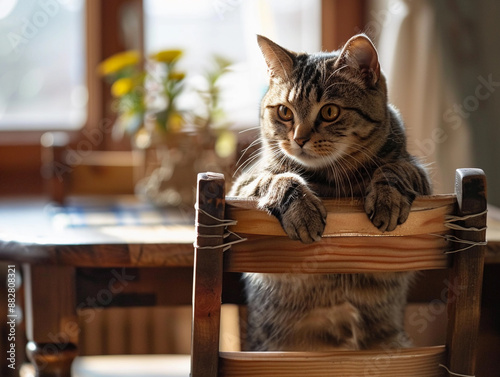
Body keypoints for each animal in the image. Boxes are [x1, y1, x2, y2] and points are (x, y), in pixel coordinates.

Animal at [229, 33, 430, 352]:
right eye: (284, 111)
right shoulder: (243, 185)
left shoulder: (420, 177)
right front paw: (302, 209)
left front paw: (388, 198)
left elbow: (395, 169)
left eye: (330, 112)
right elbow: (280, 179)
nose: (299, 139)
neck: (333, 181)